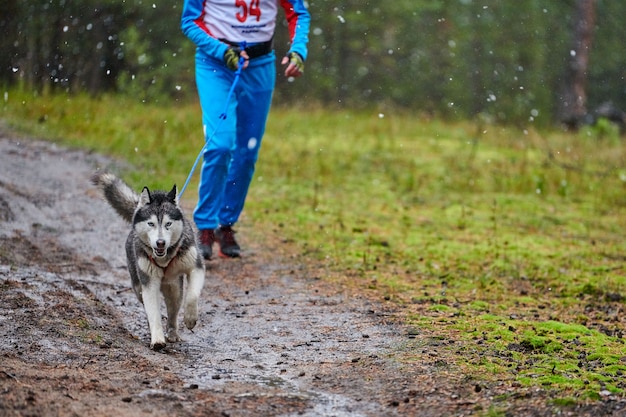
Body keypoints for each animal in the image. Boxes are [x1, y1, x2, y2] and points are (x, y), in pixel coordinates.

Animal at [91, 171, 205, 350]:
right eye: (151, 223)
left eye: (168, 224)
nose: (160, 243)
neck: (165, 258)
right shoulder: (149, 284)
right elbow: (154, 314)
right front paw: (157, 339)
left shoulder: (196, 267)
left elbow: (192, 295)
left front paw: (190, 318)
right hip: (138, 288)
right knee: (148, 308)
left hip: (174, 289)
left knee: (173, 312)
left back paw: (173, 332)